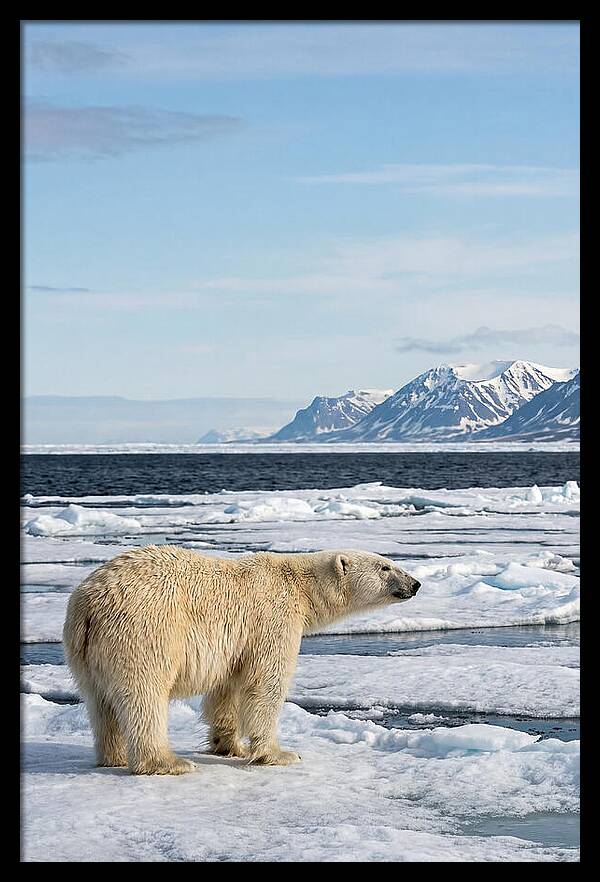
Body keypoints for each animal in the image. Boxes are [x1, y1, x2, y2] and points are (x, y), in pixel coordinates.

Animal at [63, 545, 421, 775]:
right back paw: (167, 762)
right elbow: (266, 683)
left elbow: (227, 689)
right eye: (386, 567)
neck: (299, 585)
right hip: (143, 631)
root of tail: (88, 604)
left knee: (99, 702)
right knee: (144, 695)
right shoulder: (273, 618)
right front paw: (280, 753)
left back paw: (113, 756)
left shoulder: (237, 644)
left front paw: (230, 746)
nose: (416, 584)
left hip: (84, 651)